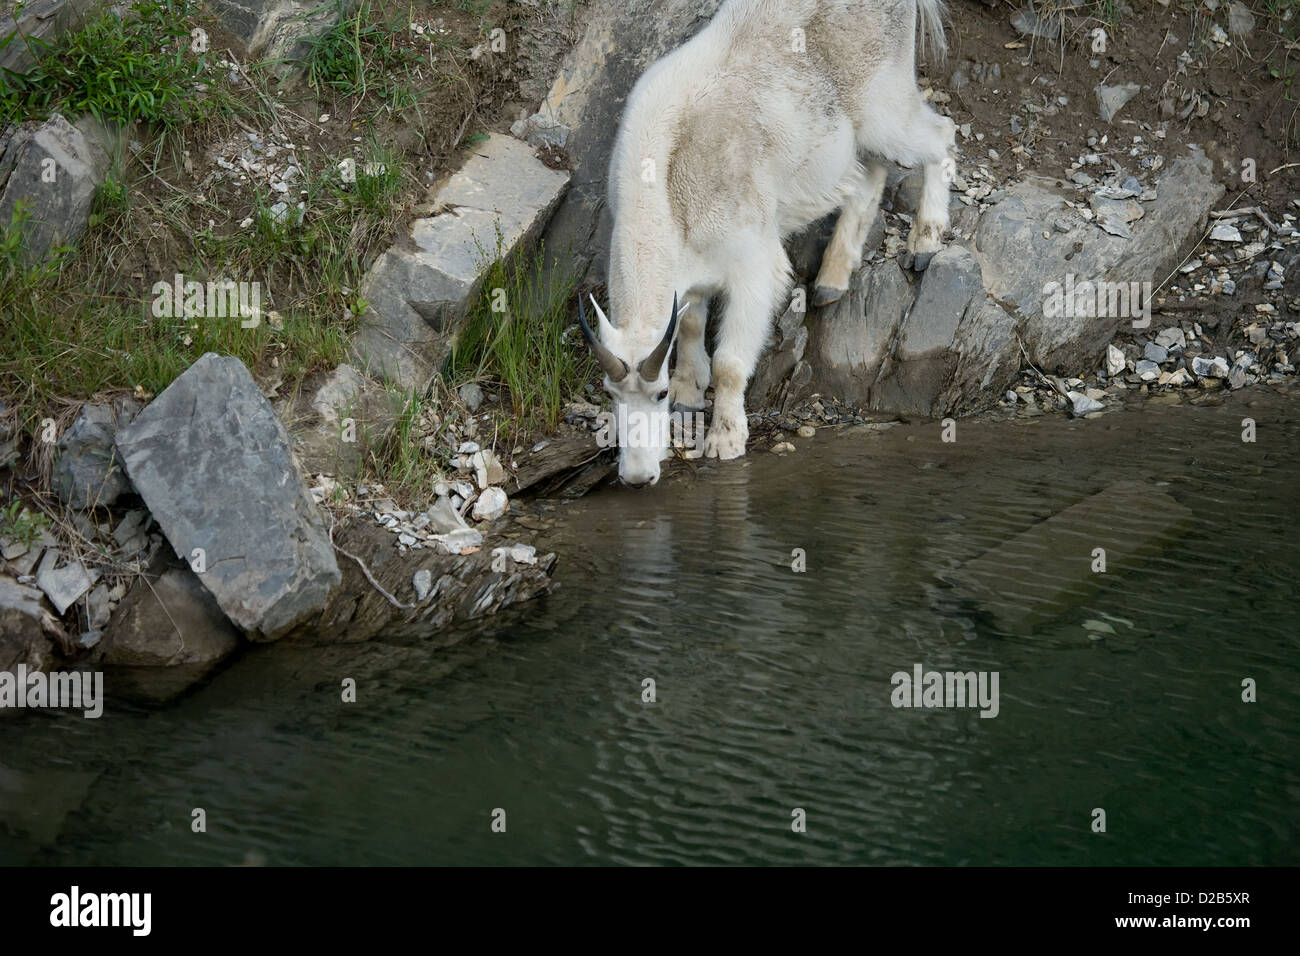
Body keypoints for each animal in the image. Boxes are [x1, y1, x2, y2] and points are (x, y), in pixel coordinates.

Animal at [579, 0, 956, 486]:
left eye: (657, 394)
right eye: (612, 393)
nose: (638, 476)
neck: (669, 184)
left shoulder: (752, 264)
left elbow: (730, 361)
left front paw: (724, 439)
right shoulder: (692, 272)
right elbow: (691, 323)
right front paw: (689, 390)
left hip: (885, 106)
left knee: (939, 133)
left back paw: (924, 240)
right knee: (868, 173)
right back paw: (832, 279)